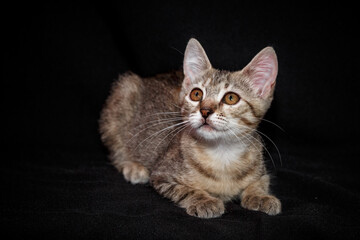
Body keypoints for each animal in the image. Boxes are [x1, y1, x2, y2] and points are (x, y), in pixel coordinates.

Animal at [99, 38, 282, 218]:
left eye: (231, 98)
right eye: (196, 94)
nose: (205, 111)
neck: (222, 154)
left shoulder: (261, 171)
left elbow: (260, 182)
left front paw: (260, 196)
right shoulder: (162, 175)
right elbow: (186, 190)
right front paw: (204, 200)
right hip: (123, 93)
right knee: (116, 149)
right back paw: (133, 167)